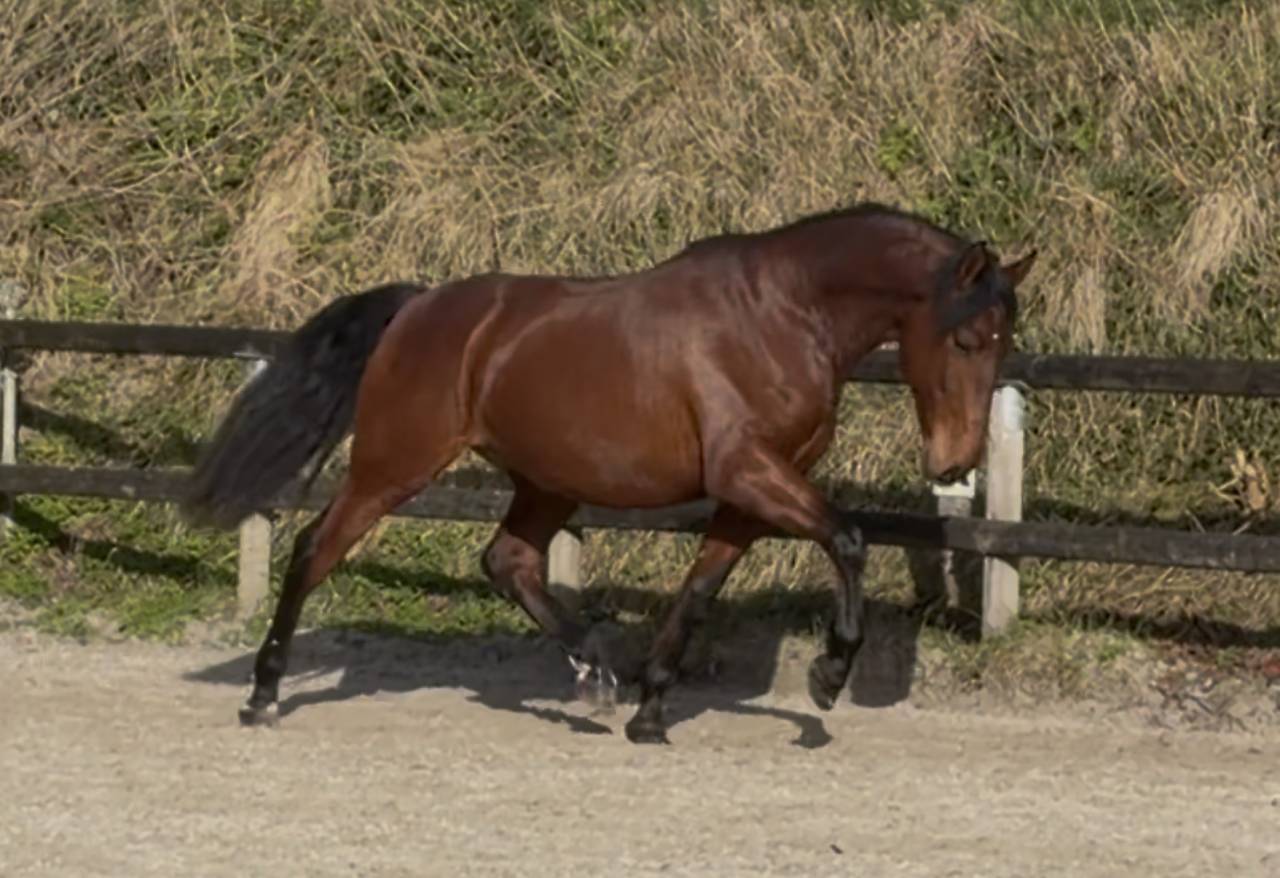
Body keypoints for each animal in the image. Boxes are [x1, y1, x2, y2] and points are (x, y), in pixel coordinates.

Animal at [181, 202, 1036, 745]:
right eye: (968, 339)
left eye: (1006, 344)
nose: (955, 461)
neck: (782, 314)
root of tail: (419, 307)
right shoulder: (749, 473)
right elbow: (850, 538)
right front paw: (830, 673)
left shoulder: (751, 494)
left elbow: (699, 592)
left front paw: (650, 711)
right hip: (395, 464)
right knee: (314, 551)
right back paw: (262, 694)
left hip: (546, 480)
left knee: (508, 561)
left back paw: (596, 670)